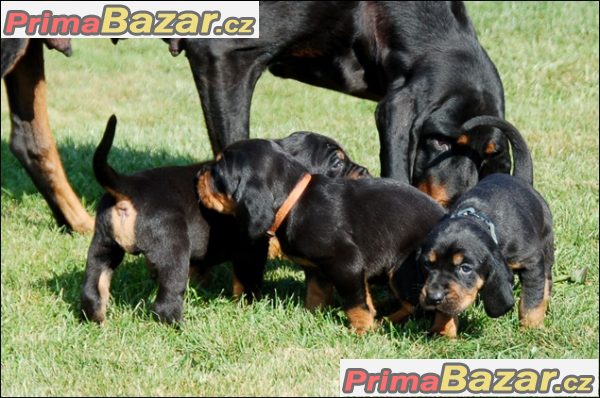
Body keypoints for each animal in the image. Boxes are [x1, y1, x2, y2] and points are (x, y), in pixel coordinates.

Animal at [81, 116, 370, 324]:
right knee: (167, 300)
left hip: (102, 246)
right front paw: (248, 307)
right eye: (336, 163)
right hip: (173, 249)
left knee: (93, 289)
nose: (366, 172)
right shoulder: (251, 249)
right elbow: (246, 282)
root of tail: (128, 187)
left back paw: (96, 322)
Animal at [197, 139, 446, 332]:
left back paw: (386, 321)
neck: (294, 201)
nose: (198, 174)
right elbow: (316, 295)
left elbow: (356, 302)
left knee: (416, 305)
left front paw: (362, 329)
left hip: (402, 270)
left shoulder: (347, 262)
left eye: (217, 172)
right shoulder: (316, 269)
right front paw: (309, 317)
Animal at [394, 116, 552, 338]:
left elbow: (531, 300)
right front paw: (443, 333)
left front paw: (531, 329)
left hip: (547, 245)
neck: (481, 219)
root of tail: (520, 179)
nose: (433, 297)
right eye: (427, 264)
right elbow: (447, 309)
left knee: (546, 280)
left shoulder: (531, 263)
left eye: (465, 268)